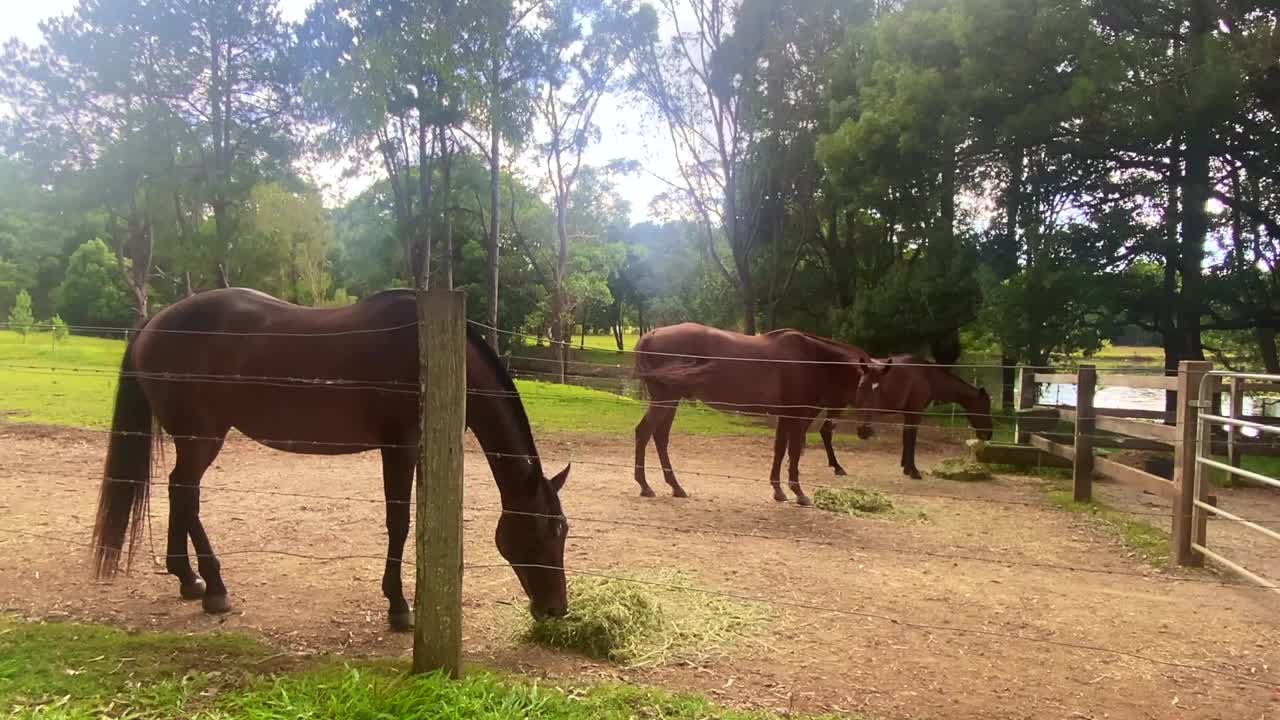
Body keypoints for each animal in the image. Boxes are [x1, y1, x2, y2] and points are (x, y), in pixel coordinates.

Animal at [90, 285, 570, 627]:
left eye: (563, 529)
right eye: (545, 531)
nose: (556, 608)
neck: (427, 355)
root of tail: (154, 322)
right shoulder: (400, 446)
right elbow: (399, 521)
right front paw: (399, 606)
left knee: (179, 492)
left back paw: (189, 580)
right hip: (202, 438)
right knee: (185, 493)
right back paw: (214, 588)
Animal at [629, 322, 870, 502]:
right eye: (867, 387)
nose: (865, 431)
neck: (809, 358)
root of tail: (650, 335)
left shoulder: (785, 415)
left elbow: (780, 450)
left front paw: (779, 491)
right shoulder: (795, 415)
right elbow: (792, 452)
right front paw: (799, 493)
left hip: (671, 401)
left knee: (659, 437)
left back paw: (675, 487)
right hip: (665, 399)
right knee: (645, 432)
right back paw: (645, 485)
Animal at [855, 353, 993, 476]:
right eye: (985, 407)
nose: (988, 434)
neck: (928, 376)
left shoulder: (908, 414)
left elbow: (906, 439)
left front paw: (905, 466)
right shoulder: (915, 413)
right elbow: (912, 440)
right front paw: (913, 471)